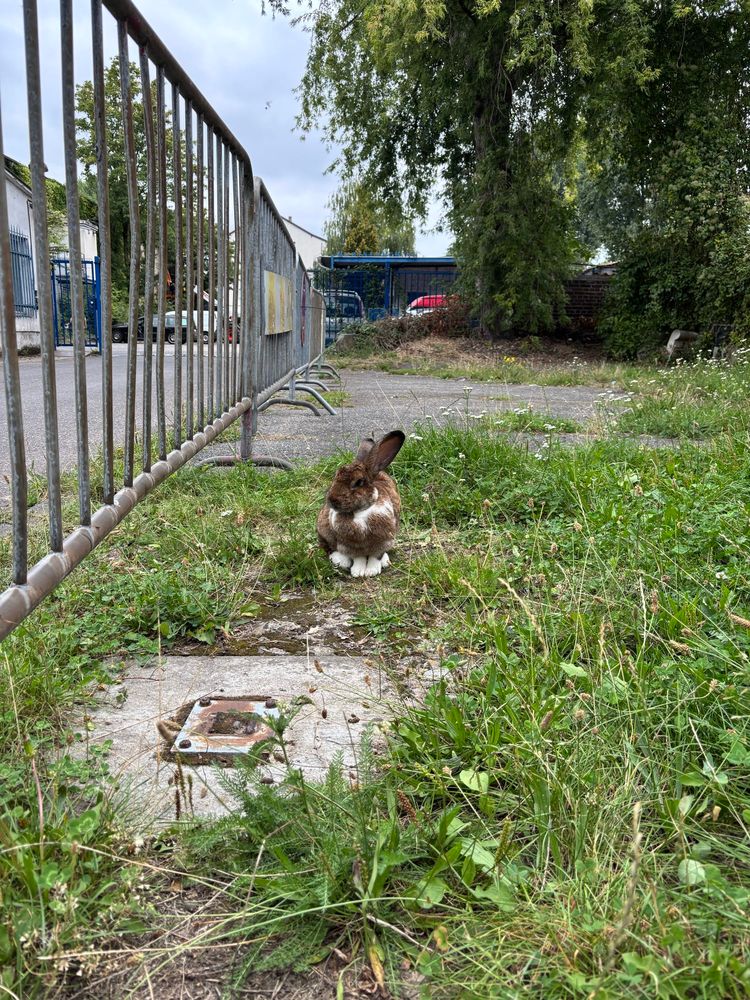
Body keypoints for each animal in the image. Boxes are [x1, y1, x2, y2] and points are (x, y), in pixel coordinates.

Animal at [317, 430, 406, 577]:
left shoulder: (383, 542)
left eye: (358, 482)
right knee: (329, 547)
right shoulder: (351, 546)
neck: (360, 513)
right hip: (323, 530)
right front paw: (358, 572)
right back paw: (340, 561)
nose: (332, 500)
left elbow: (376, 557)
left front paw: (371, 571)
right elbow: (359, 558)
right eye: (335, 477)